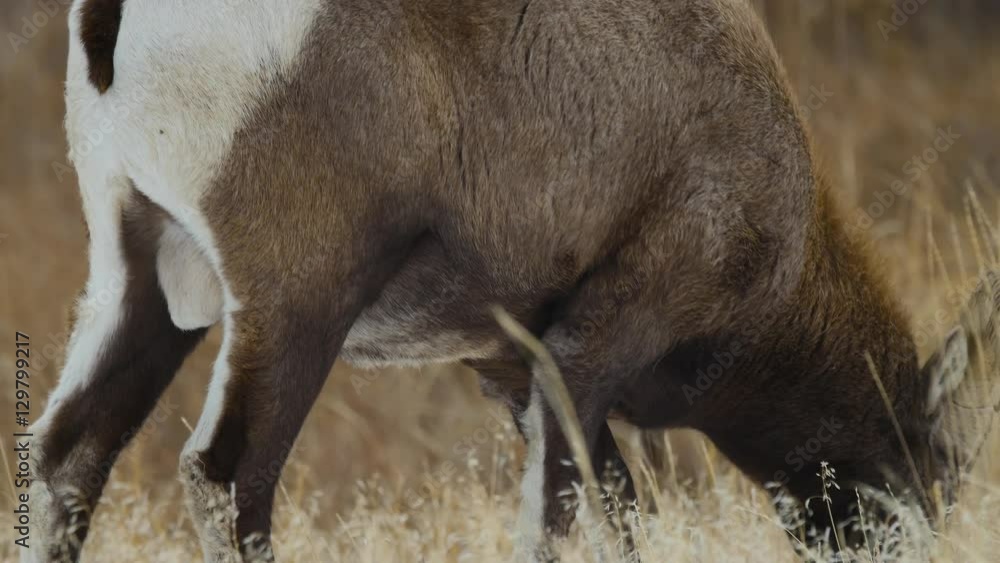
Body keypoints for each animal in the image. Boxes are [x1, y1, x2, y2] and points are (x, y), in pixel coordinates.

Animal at [26, 0, 1000, 561]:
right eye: (928, 489)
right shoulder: (595, 346)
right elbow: (558, 510)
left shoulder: (512, 372)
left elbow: (613, 512)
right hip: (295, 309)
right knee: (229, 478)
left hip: (143, 293)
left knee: (68, 452)